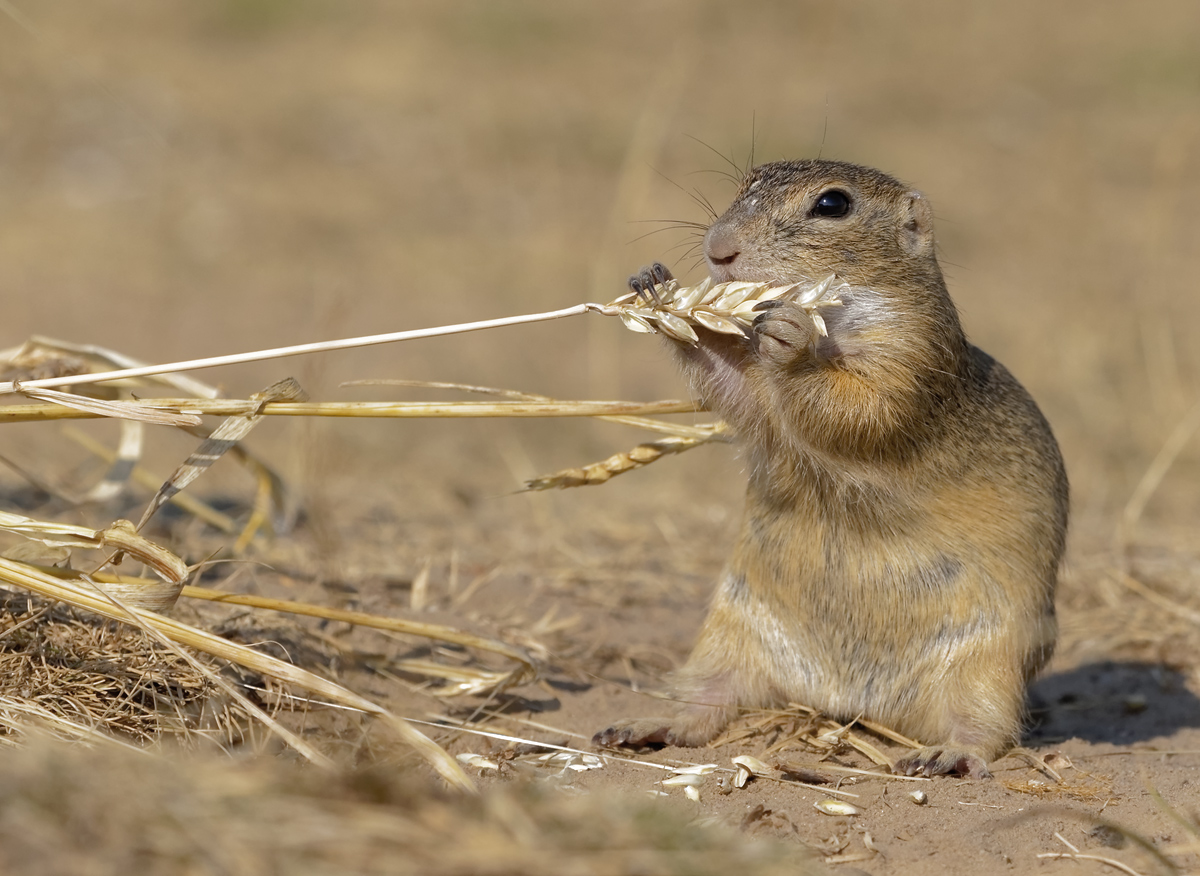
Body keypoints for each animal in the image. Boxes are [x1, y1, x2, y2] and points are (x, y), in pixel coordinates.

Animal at [595, 154, 1075, 772]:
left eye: (832, 204)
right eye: (747, 183)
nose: (718, 250)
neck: (841, 317)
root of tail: (848, 705)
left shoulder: (911, 358)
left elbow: (862, 408)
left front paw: (791, 337)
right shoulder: (764, 406)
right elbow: (744, 396)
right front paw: (662, 292)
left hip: (989, 665)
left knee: (989, 729)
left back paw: (946, 754)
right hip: (725, 637)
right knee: (706, 706)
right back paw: (645, 724)